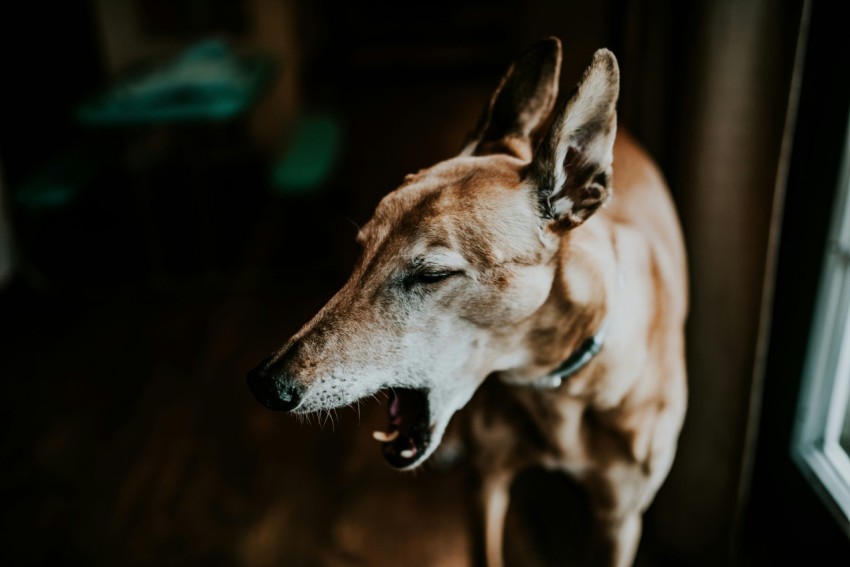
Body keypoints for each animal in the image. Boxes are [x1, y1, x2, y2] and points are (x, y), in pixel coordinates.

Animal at [248, 38, 684, 567]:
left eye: (432, 274)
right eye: (361, 250)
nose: (267, 385)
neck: (555, 387)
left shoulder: (619, 521)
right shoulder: (485, 483)